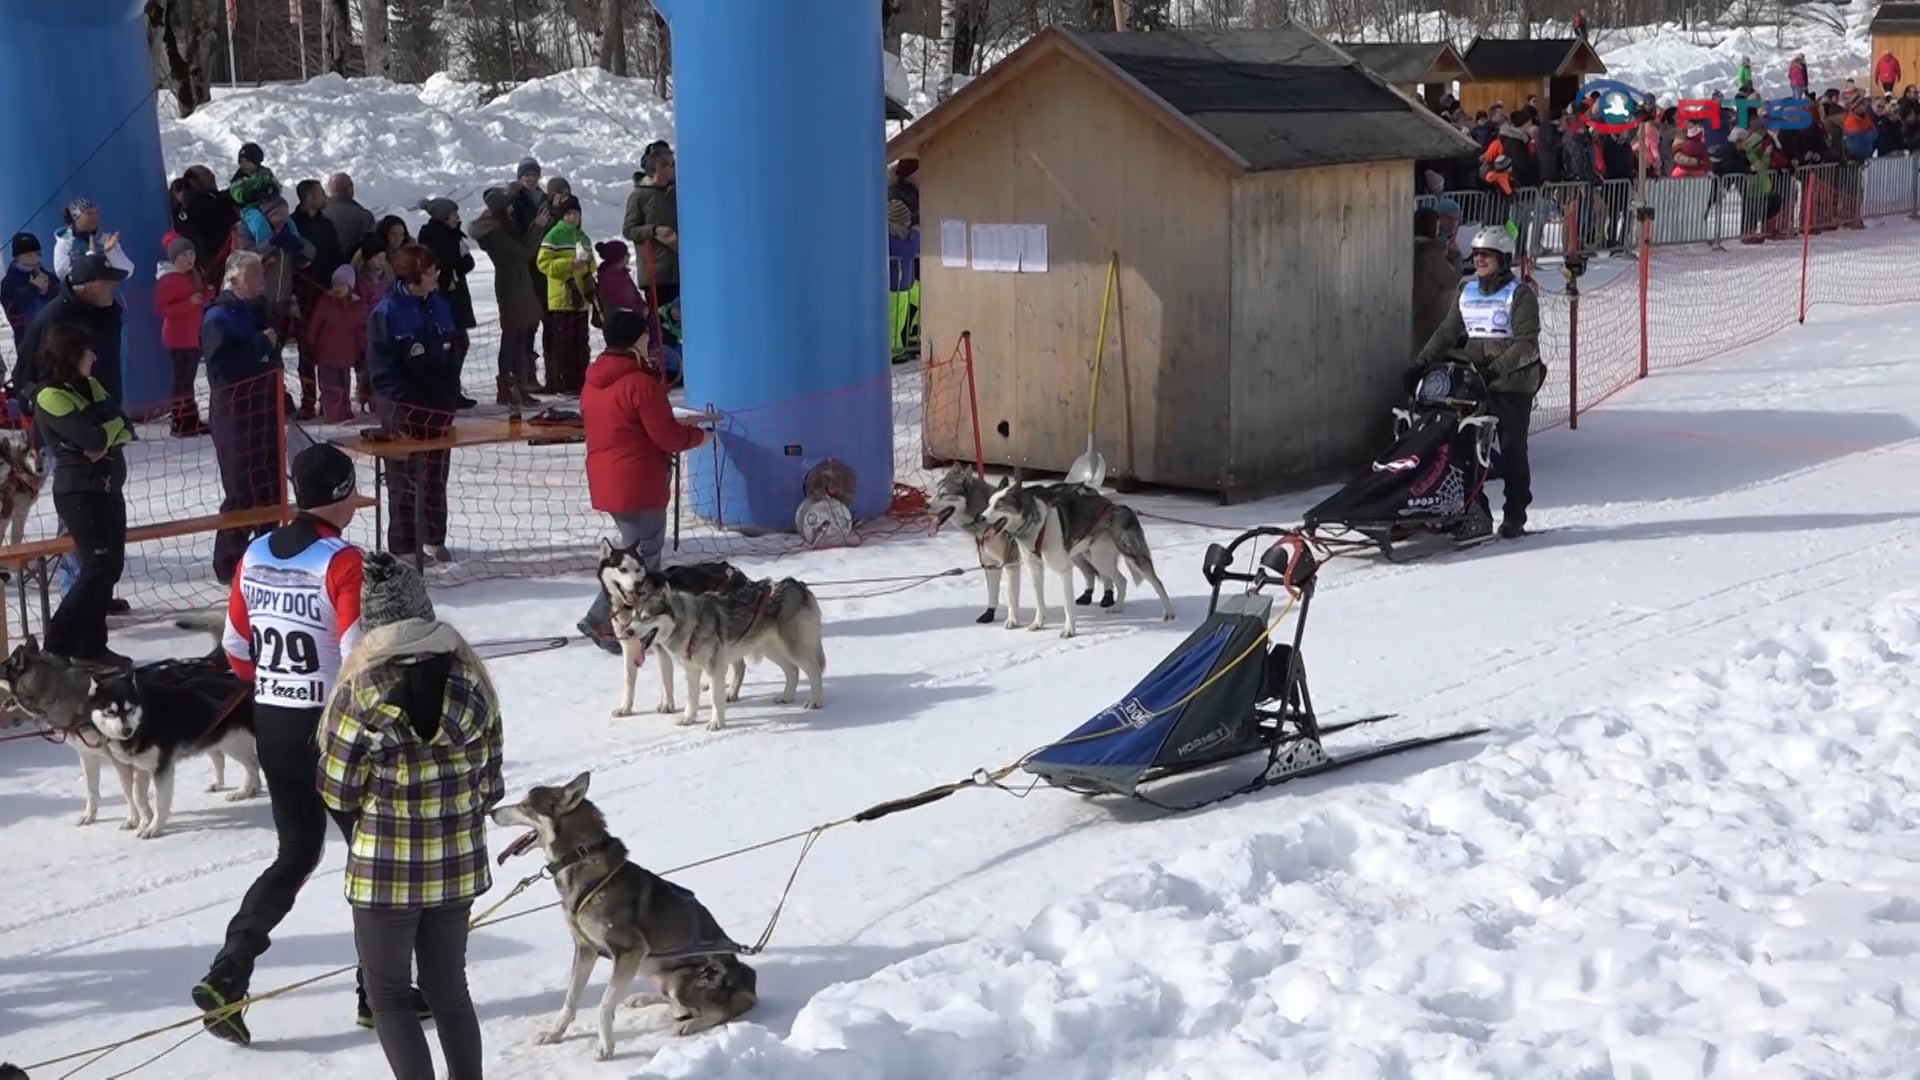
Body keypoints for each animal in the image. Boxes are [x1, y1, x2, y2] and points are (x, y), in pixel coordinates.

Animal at [495, 768, 756, 1053]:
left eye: (523, 805)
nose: (491, 812)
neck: (580, 861)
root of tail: (747, 983)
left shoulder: (630, 951)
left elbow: (604, 1004)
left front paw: (605, 1046)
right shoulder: (585, 949)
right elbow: (570, 999)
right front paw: (554, 1033)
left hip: (679, 978)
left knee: (718, 1011)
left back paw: (688, 1025)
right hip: (654, 970)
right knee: (674, 1002)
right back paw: (644, 999)